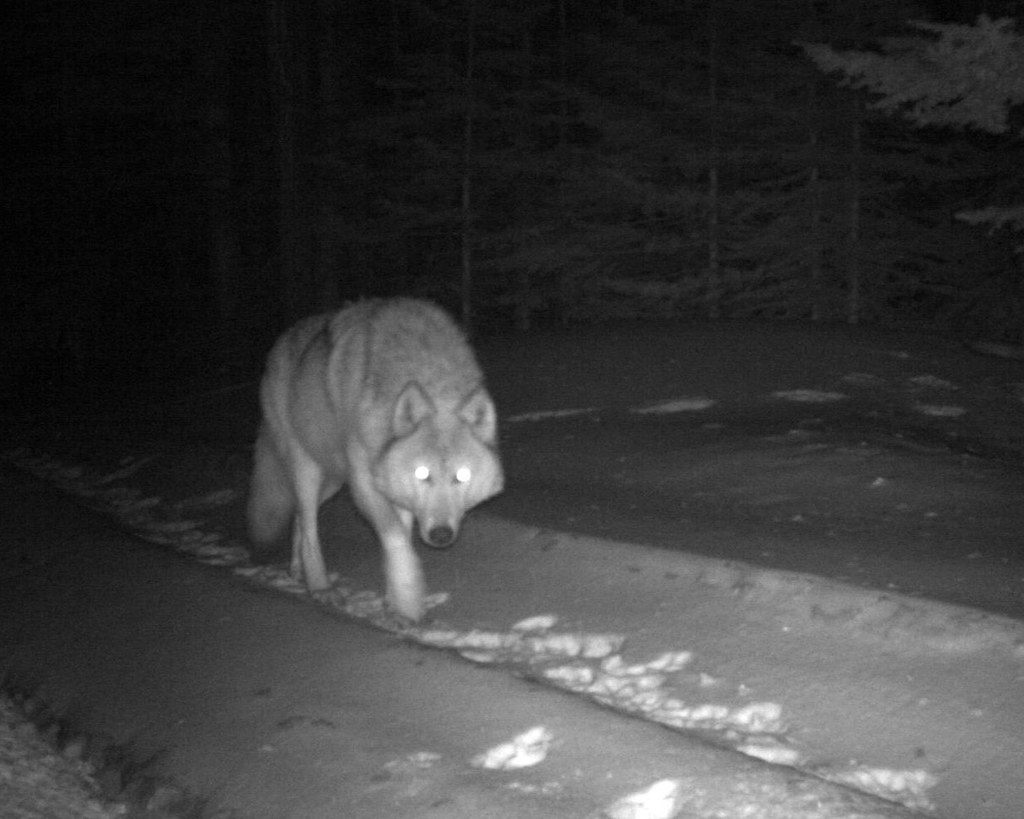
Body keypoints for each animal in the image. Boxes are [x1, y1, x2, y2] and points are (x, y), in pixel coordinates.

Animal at [246, 298, 504, 621]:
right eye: (422, 474)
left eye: (462, 476)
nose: (441, 535)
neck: (429, 376)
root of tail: (280, 342)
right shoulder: (365, 483)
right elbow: (396, 537)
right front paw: (407, 599)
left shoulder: (393, 484)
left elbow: (403, 534)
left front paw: (394, 602)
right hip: (308, 468)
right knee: (308, 525)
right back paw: (319, 586)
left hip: (332, 480)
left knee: (299, 520)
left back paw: (298, 570)